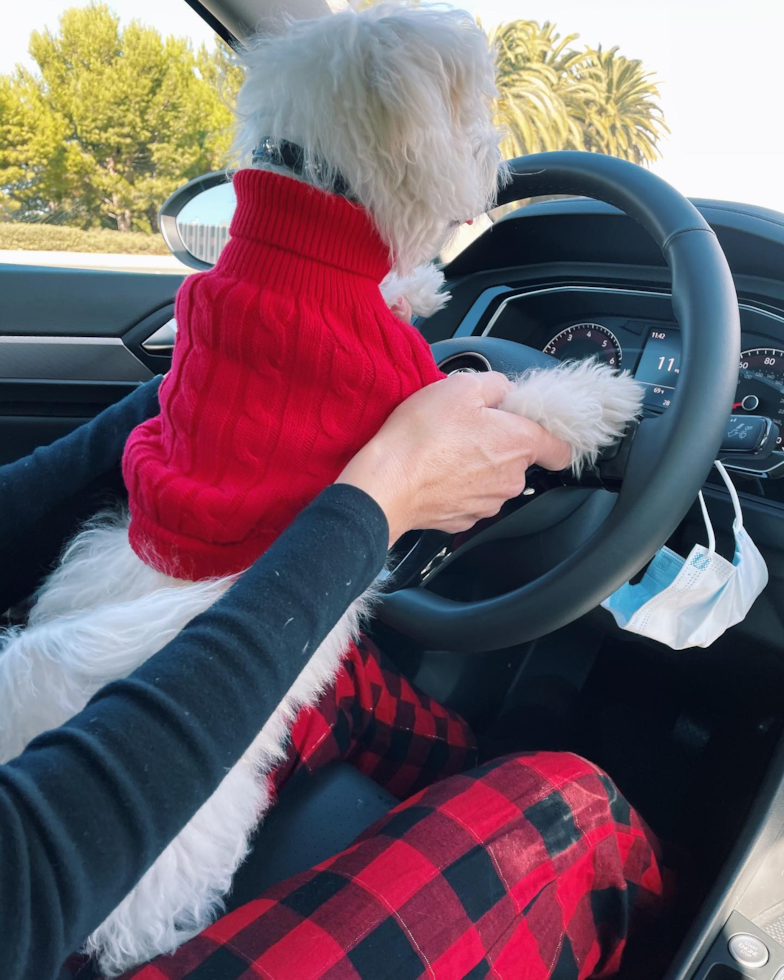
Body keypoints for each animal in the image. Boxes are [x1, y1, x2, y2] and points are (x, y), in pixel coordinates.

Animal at [0, 5, 644, 972]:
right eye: (478, 101)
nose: (501, 159)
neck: (307, 224)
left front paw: (415, 281)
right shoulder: (417, 393)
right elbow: (521, 406)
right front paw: (600, 396)